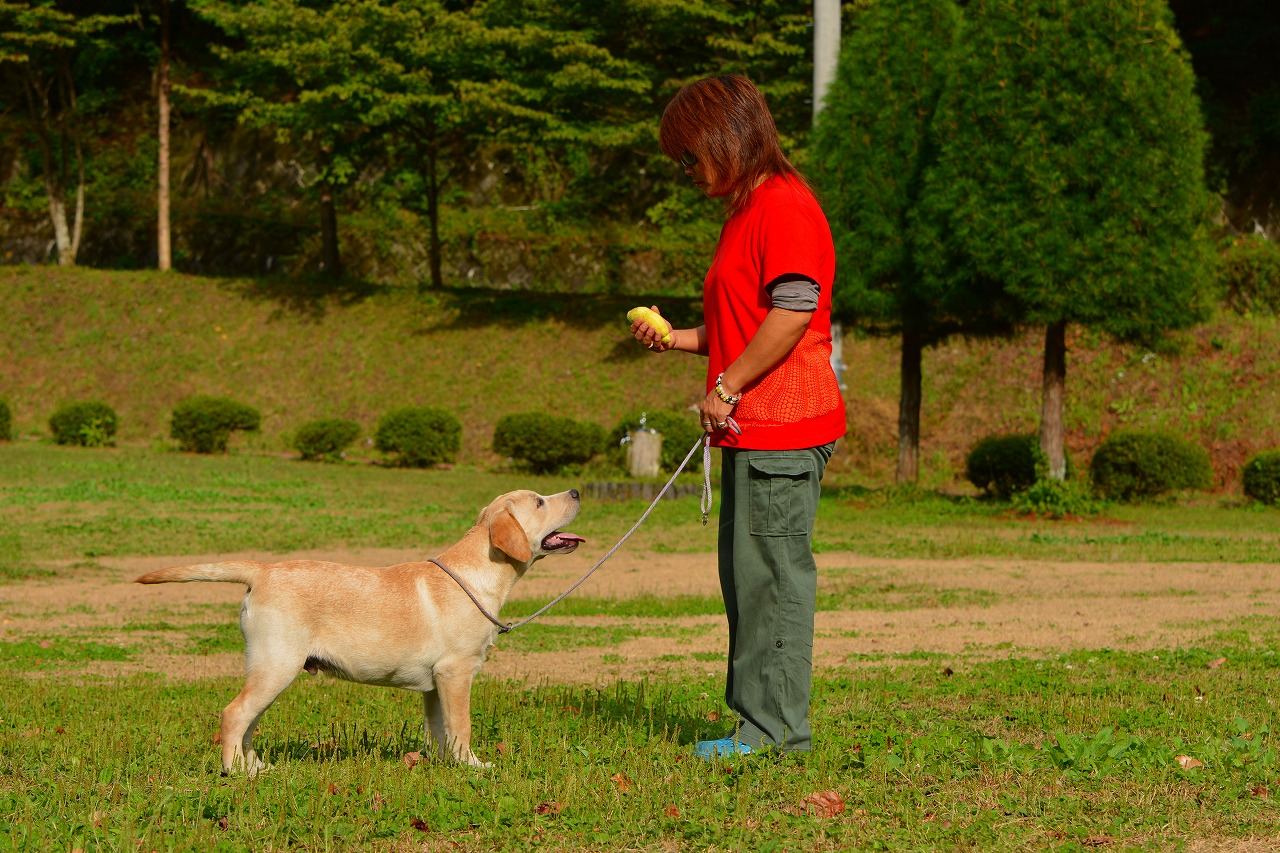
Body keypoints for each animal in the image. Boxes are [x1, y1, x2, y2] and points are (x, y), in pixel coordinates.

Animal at [136, 484, 586, 768]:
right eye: (540, 502)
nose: (577, 492)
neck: (478, 573)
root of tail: (263, 570)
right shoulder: (456, 672)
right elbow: (462, 727)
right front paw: (474, 766)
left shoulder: (436, 684)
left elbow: (440, 730)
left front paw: (447, 767)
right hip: (277, 665)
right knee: (233, 714)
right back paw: (236, 774)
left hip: (267, 669)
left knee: (248, 722)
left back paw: (256, 768)